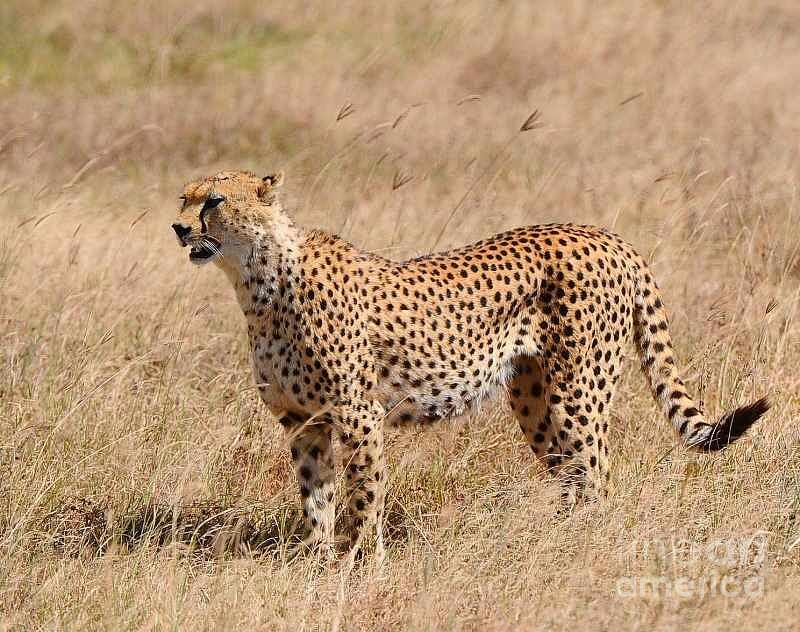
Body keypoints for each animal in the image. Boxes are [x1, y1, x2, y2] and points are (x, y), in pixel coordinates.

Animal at [172, 169, 764, 564]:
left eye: (215, 200)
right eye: (184, 197)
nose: (178, 228)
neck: (259, 281)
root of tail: (607, 236)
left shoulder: (359, 414)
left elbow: (363, 496)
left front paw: (361, 564)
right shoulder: (304, 421)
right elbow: (315, 495)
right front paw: (317, 563)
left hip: (578, 393)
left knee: (597, 476)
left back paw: (587, 547)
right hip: (533, 398)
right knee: (571, 473)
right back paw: (558, 540)